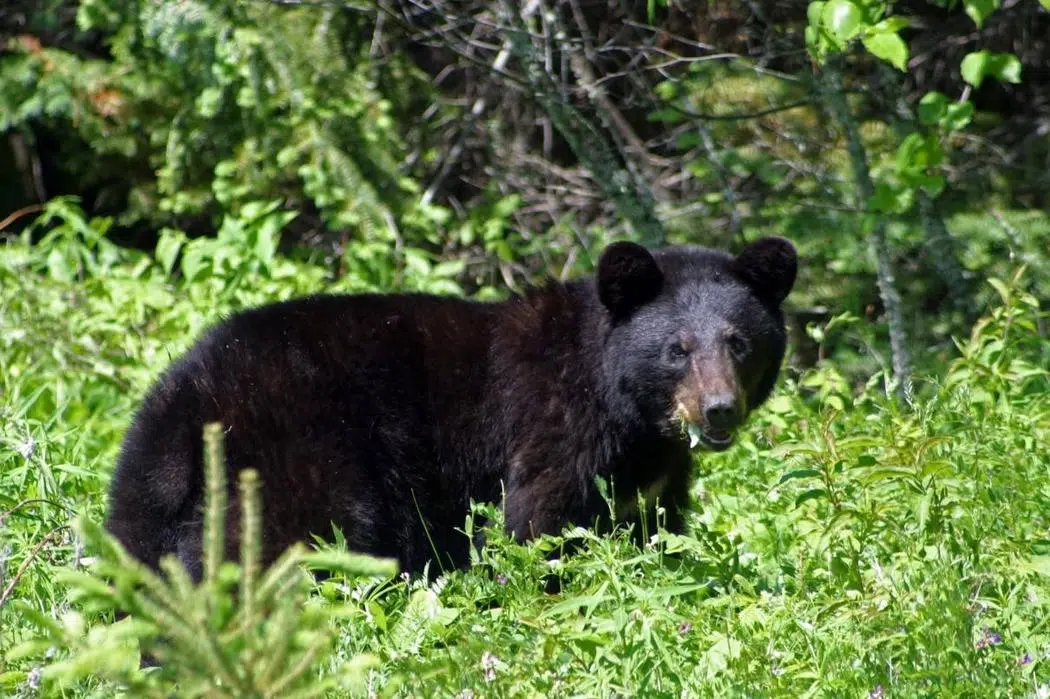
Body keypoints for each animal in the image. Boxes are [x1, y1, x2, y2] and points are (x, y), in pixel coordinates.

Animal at [106, 237, 793, 575]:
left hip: (152, 504)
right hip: (297, 460)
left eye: (738, 340)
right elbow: (534, 527)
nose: (719, 410)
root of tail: (186, 401)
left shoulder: (653, 474)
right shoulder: (553, 428)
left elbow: (656, 528)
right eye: (678, 349)